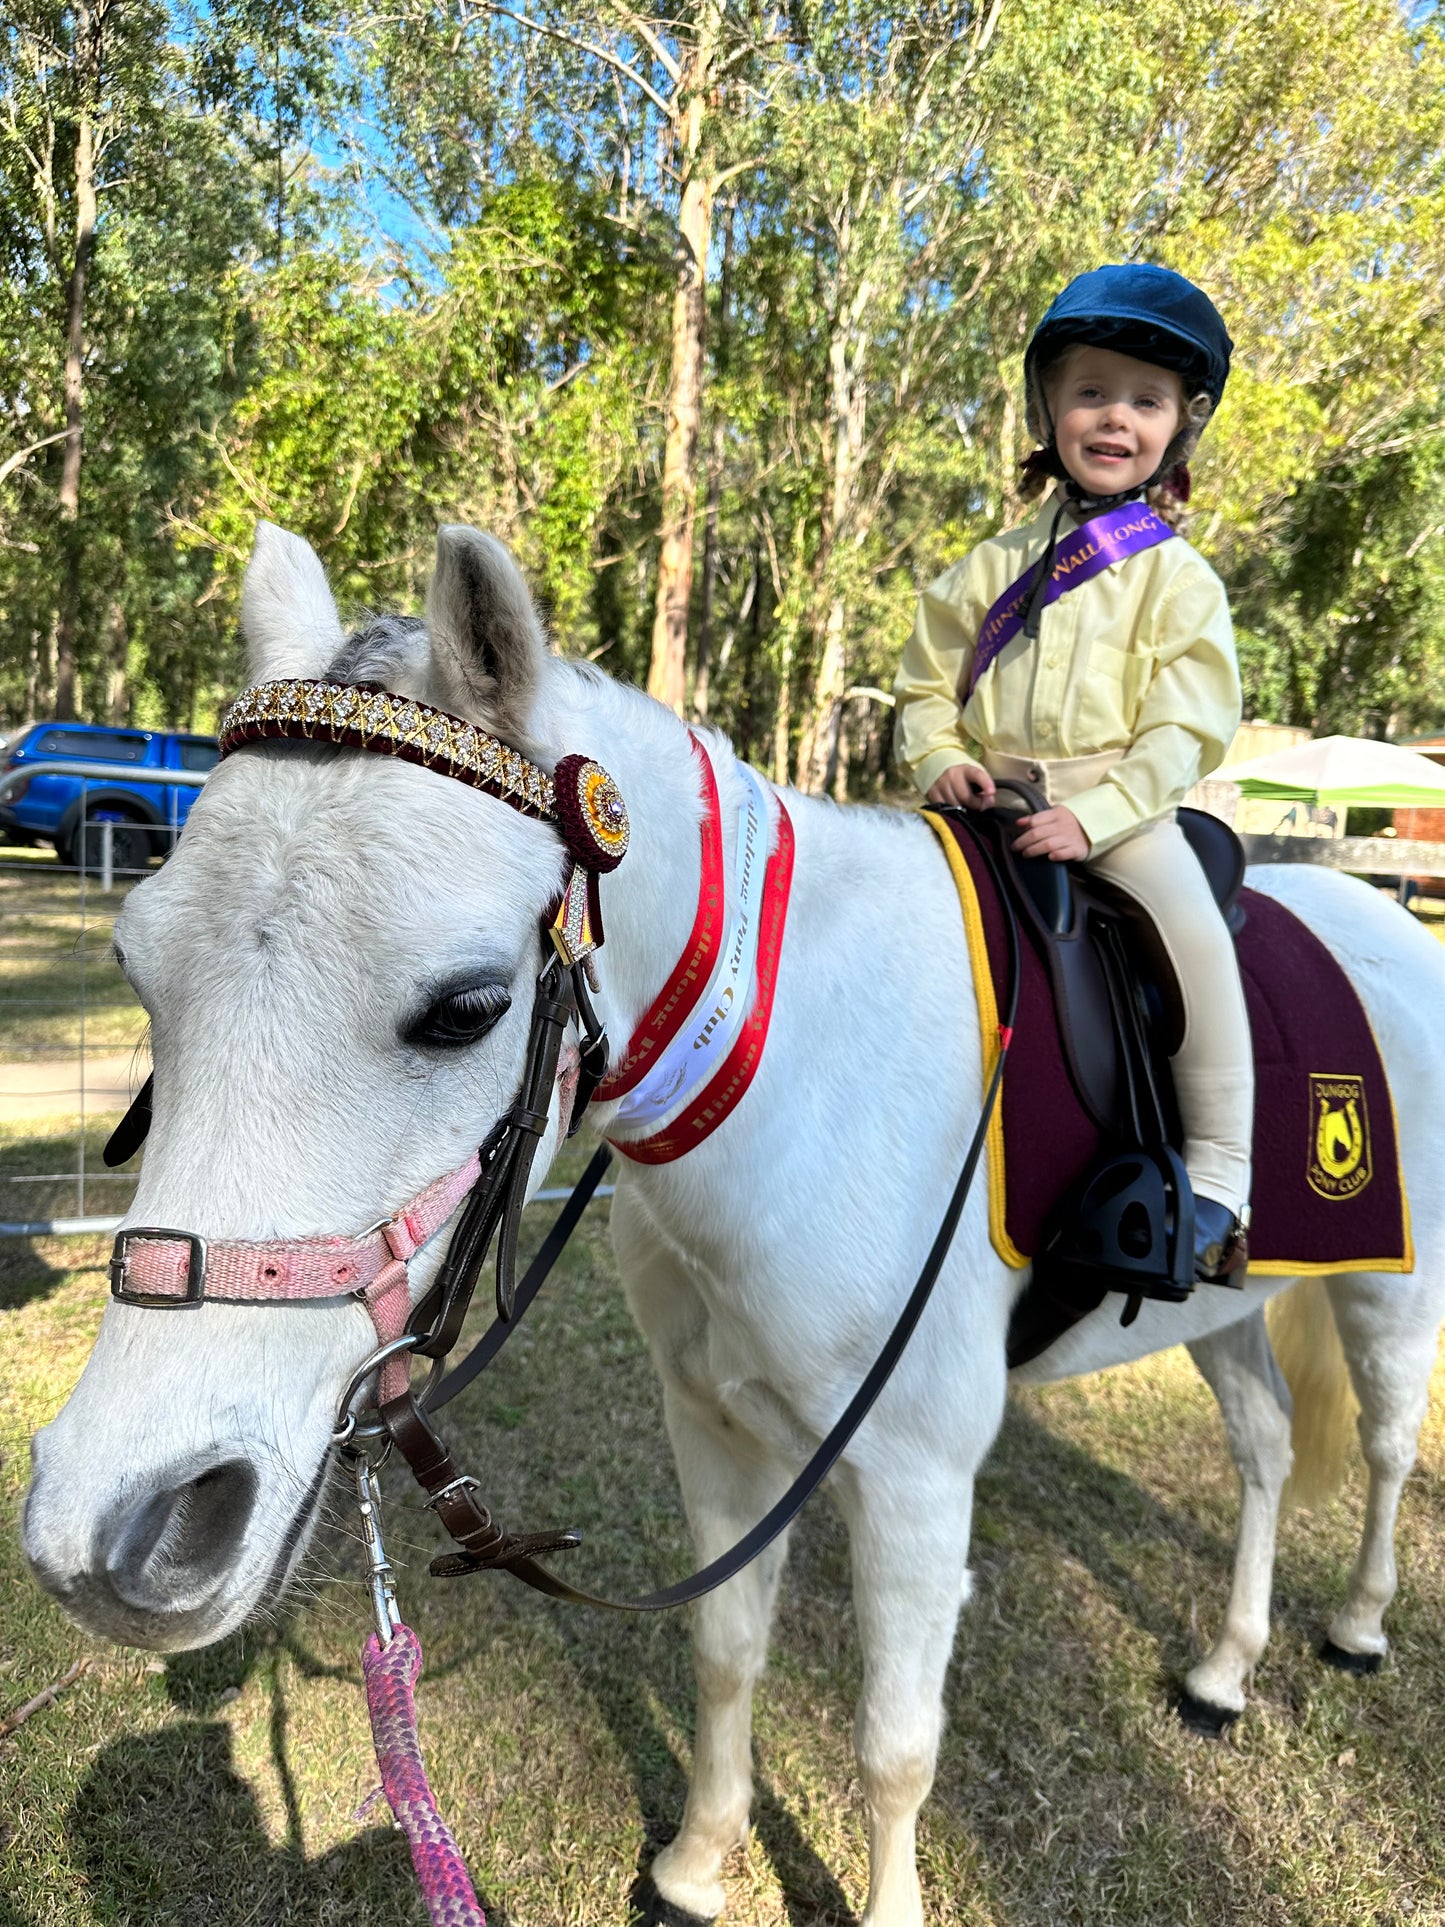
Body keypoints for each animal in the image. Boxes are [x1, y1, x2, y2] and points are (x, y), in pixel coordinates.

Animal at [22, 520, 1445, 1919]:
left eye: (467, 1007)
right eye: (139, 965)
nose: (123, 1532)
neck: (802, 1079)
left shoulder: (915, 1481)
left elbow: (891, 1743)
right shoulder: (710, 1424)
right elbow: (723, 1650)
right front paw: (698, 1864)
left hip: (1387, 1291)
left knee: (1380, 1446)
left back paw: (1359, 1624)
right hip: (1228, 1305)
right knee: (1265, 1444)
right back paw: (1222, 1669)